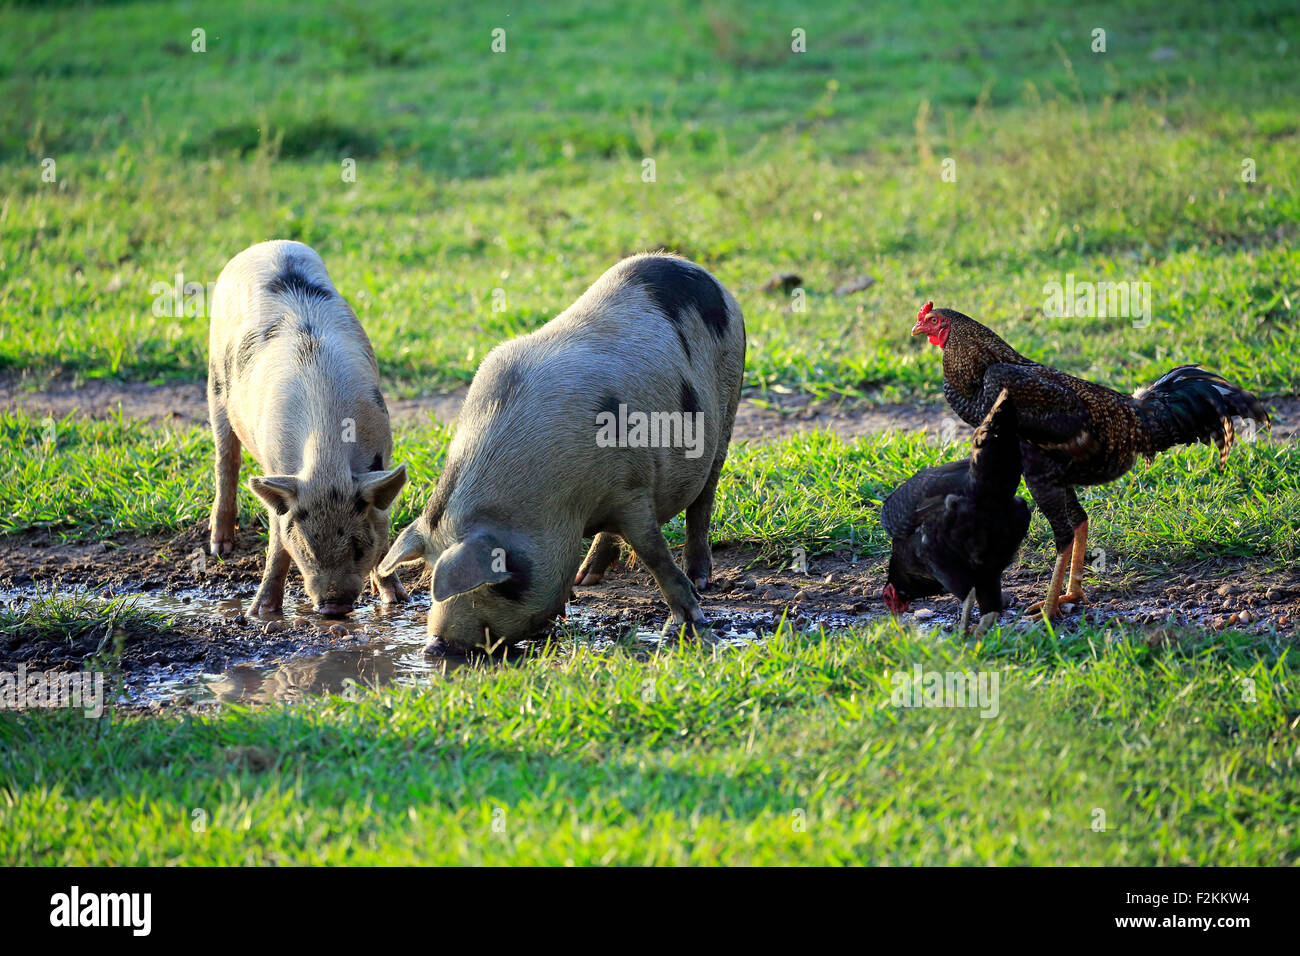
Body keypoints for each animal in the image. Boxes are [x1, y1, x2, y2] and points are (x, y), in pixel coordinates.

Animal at [206, 235, 405, 616]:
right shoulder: (278, 471)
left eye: (358, 547)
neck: (326, 453)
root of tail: (268, 244)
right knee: (226, 460)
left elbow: (384, 536)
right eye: (307, 548)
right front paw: (259, 613)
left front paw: (395, 601)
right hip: (215, 385)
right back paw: (220, 549)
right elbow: (276, 545)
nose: (332, 608)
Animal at [379, 254, 743, 655]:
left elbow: (653, 552)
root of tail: (696, 269)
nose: (435, 645)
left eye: (503, 582)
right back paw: (587, 578)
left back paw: (700, 578)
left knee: (704, 496)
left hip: (730, 400)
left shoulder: (632, 489)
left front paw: (692, 619)